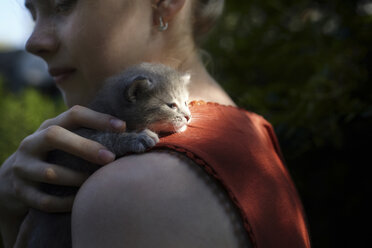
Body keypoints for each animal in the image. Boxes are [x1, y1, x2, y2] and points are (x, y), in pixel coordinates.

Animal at [16, 63, 192, 247]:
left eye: (186, 102)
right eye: (171, 105)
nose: (188, 116)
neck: (111, 110)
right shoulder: (68, 149)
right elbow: (103, 138)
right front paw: (136, 137)